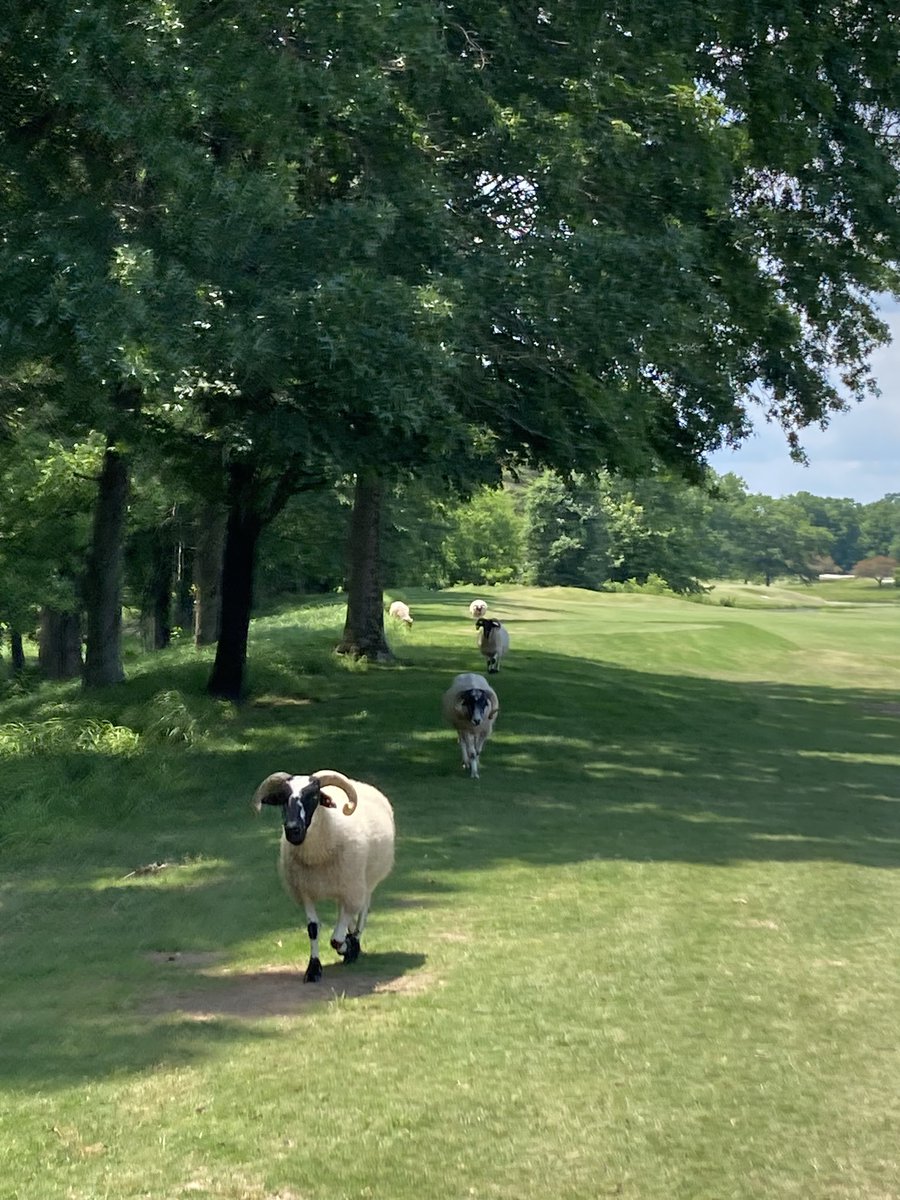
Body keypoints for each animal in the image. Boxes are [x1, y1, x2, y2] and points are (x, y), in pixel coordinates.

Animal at [252, 768, 395, 983]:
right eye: (283, 798)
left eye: (313, 796)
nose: (293, 829)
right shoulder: (305, 892)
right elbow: (313, 929)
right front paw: (313, 969)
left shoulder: (351, 889)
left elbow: (335, 939)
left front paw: (347, 947)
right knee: (346, 912)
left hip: (364, 881)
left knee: (362, 909)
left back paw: (354, 940)